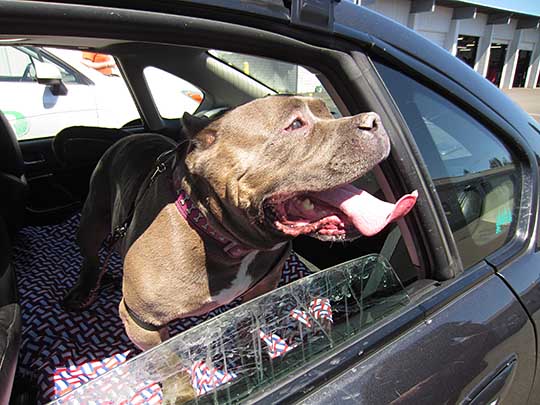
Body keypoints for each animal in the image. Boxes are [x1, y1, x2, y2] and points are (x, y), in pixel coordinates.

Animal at [64, 94, 418, 394]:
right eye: (295, 125)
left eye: (328, 112)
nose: (375, 120)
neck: (221, 235)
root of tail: (129, 135)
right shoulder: (141, 321)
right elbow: (170, 363)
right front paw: (181, 394)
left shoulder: (262, 288)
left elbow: (249, 321)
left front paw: (254, 353)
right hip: (93, 216)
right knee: (91, 255)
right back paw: (83, 290)